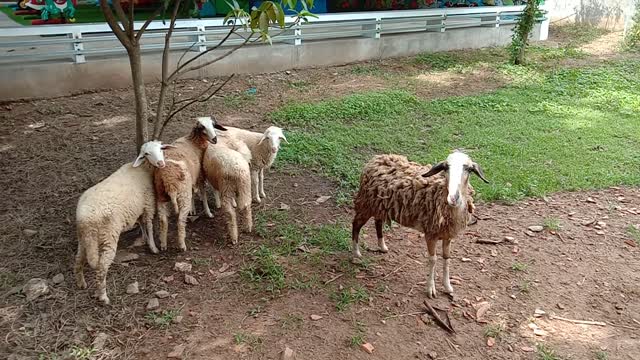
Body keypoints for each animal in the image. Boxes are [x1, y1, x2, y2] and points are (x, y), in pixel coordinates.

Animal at [74, 140, 170, 304]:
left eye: (160, 149)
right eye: (147, 153)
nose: (161, 163)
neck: (143, 168)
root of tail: (86, 219)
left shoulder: (138, 207)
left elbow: (142, 224)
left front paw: (144, 239)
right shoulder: (148, 204)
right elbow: (149, 225)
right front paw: (153, 246)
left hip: (84, 238)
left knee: (78, 259)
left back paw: (81, 283)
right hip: (108, 235)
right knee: (101, 268)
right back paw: (103, 297)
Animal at [154, 116, 226, 252]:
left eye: (213, 125)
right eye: (202, 127)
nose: (215, 139)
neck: (193, 142)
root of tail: (168, 179)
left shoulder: (192, 178)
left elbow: (193, 192)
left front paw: (193, 210)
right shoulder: (200, 175)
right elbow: (203, 193)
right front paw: (208, 213)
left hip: (161, 194)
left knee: (162, 220)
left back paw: (163, 244)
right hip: (182, 193)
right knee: (180, 220)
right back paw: (182, 245)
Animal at [352, 150, 488, 298]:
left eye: (468, 169)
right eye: (446, 167)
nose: (453, 198)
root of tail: (376, 159)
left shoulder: (447, 235)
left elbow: (446, 258)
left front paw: (447, 286)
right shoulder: (430, 234)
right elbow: (433, 259)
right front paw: (430, 289)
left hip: (380, 205)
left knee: (378, 221)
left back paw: (382, 246)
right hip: (366, 204)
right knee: (356, 224)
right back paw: (356, 253)